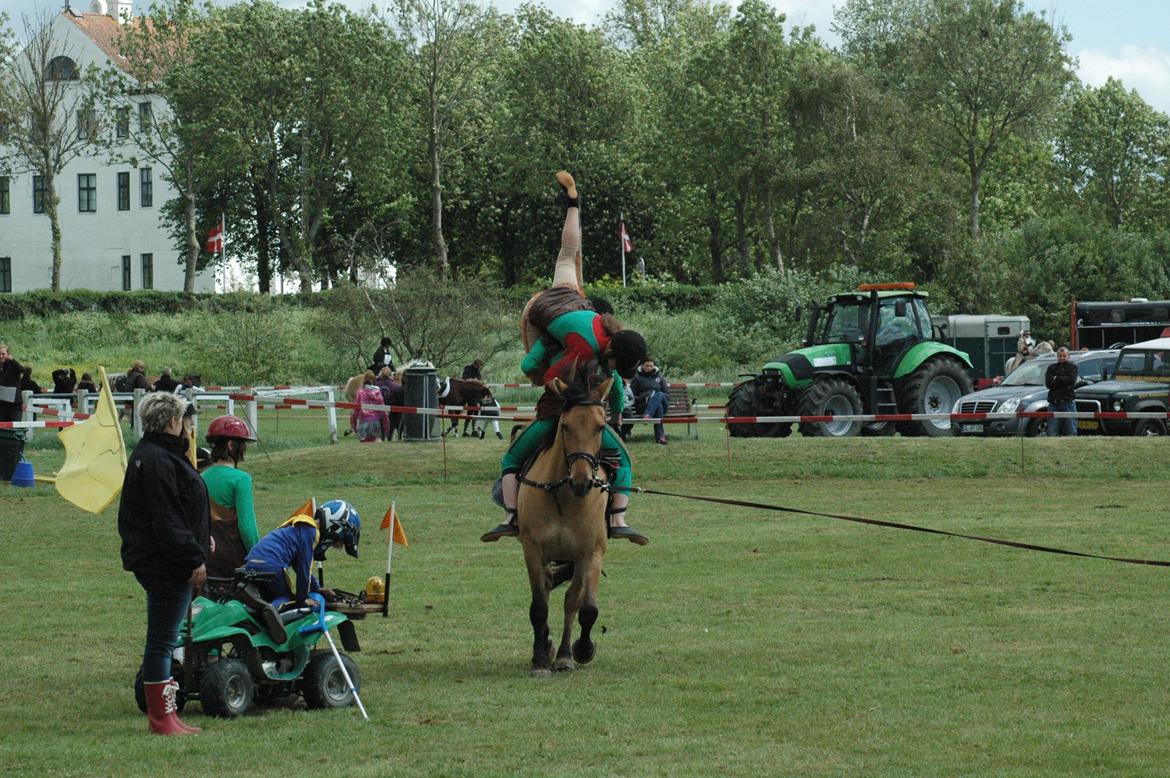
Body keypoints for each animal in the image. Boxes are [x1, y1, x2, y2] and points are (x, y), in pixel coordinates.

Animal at [519, 369, 617, 673]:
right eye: (565, 426)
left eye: (600, 427)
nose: (581, 481)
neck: (564, 496)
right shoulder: (533, 551)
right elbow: (539, 606)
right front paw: (540, 659)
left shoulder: (591, 553)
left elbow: (583, 607)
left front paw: (577, 651)